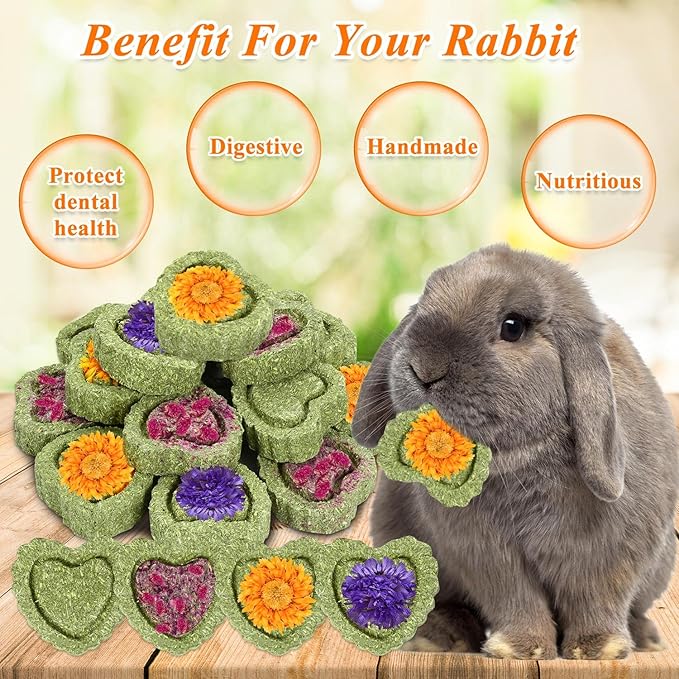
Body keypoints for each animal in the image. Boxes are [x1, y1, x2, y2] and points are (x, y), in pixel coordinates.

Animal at [352, 244, 678, 660]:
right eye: (423, 303)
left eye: (513, 326)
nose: (424, 368)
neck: (520, 462)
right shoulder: (486, 555)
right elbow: (513, 597)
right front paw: (521, 650)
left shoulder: (610, 551)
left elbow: (598, 597)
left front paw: (597, 650)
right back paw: (440, 639)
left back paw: (648, 640)